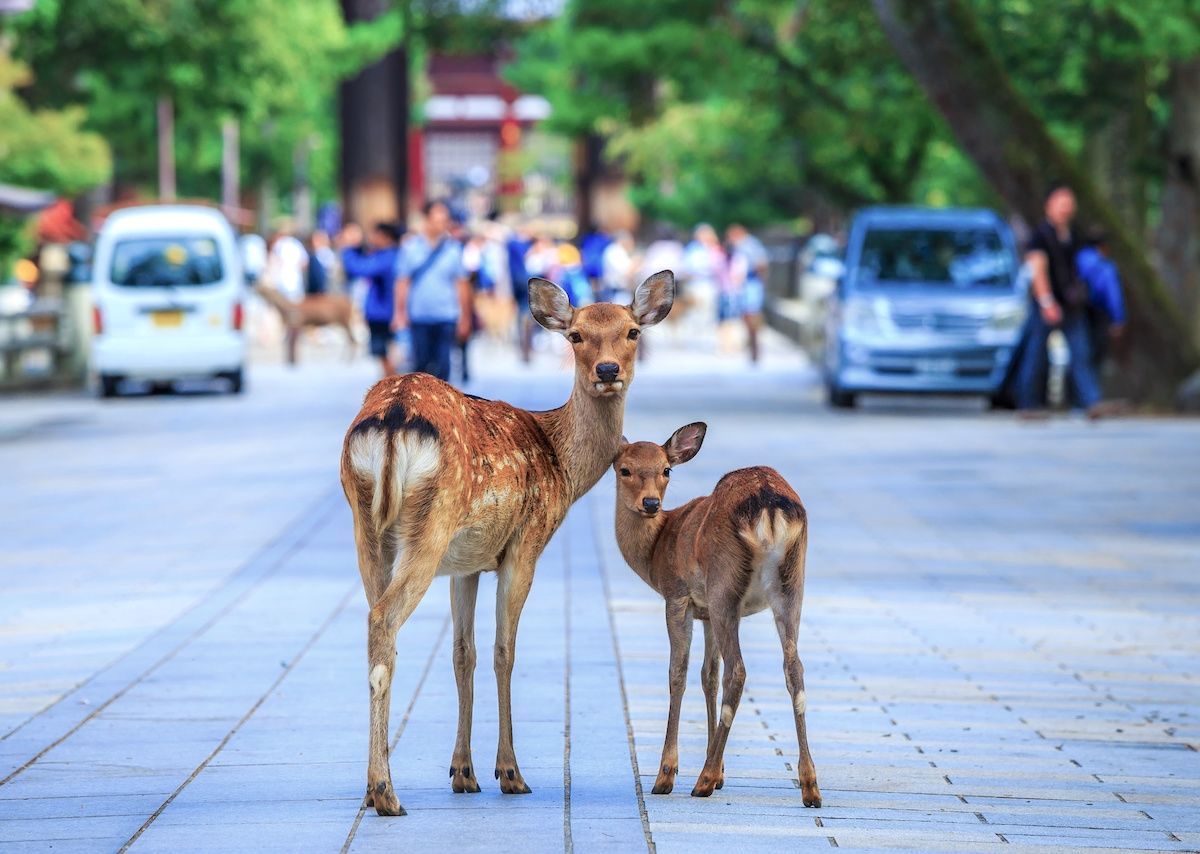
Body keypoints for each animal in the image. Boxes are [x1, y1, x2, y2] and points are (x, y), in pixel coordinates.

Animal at [338, 272, 676, 815]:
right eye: (576, 335)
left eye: (632, 332)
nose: (607, 370)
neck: (562, 465)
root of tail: (391, 418)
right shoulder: (525, 544)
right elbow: (504, 651)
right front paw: (510, 773)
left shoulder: (466, 563)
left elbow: (463, 653)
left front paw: (463, 773)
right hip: (431, 523)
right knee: (384, 619)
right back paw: (387, 793)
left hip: (366, 526)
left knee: (375, 623)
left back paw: (372, 789)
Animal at [614, 424, 820, 806]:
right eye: (625, 469)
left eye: (666, 470)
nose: (650, 504)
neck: (656, 551)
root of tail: (769, 506)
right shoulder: (706, 613)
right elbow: (708, 675)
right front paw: (722, 771)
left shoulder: (678, 596)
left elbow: (678, 674)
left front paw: (667, 774)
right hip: (791, 586)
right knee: (793, 668)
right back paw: (810, 785)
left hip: (726, 586)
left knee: (738, 671)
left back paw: (703, 780)